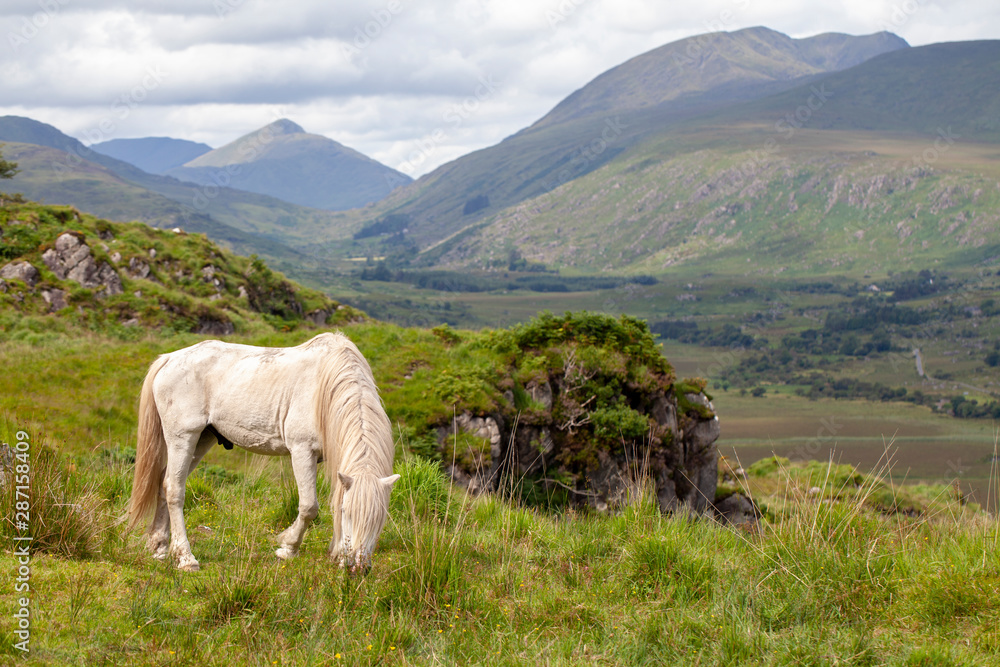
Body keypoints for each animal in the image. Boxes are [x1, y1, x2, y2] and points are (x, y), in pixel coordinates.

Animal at [127, 332, 400, 572]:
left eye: (380, 519)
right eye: (349, 513)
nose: (358, 568)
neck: (326, 386)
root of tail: (169, 358)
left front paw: (337, 554)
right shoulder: (302, 451)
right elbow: (309, 506)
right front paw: (288, 548)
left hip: (201, 440)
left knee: (163, 483)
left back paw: (160, 547)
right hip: (183, 438)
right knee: (174, 489)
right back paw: (185, 558)